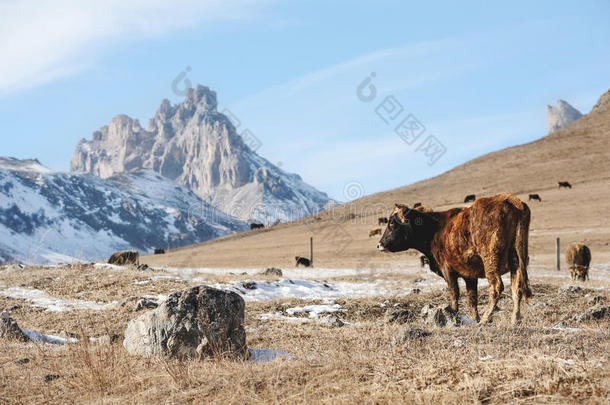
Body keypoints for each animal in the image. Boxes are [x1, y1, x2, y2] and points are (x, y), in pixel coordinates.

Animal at [378, 191, 528, 324]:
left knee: (496, 287)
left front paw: (454, 315)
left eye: (392, 223)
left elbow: (454, 294)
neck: (435, 229)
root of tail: (508, 199)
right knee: (517, 288)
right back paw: (515, 319)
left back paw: (486, 319)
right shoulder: (470, 275)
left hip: (490, 260)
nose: (380, 244)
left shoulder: (448, 270)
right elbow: (472, 300)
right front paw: (474, 319)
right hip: (517, 262)